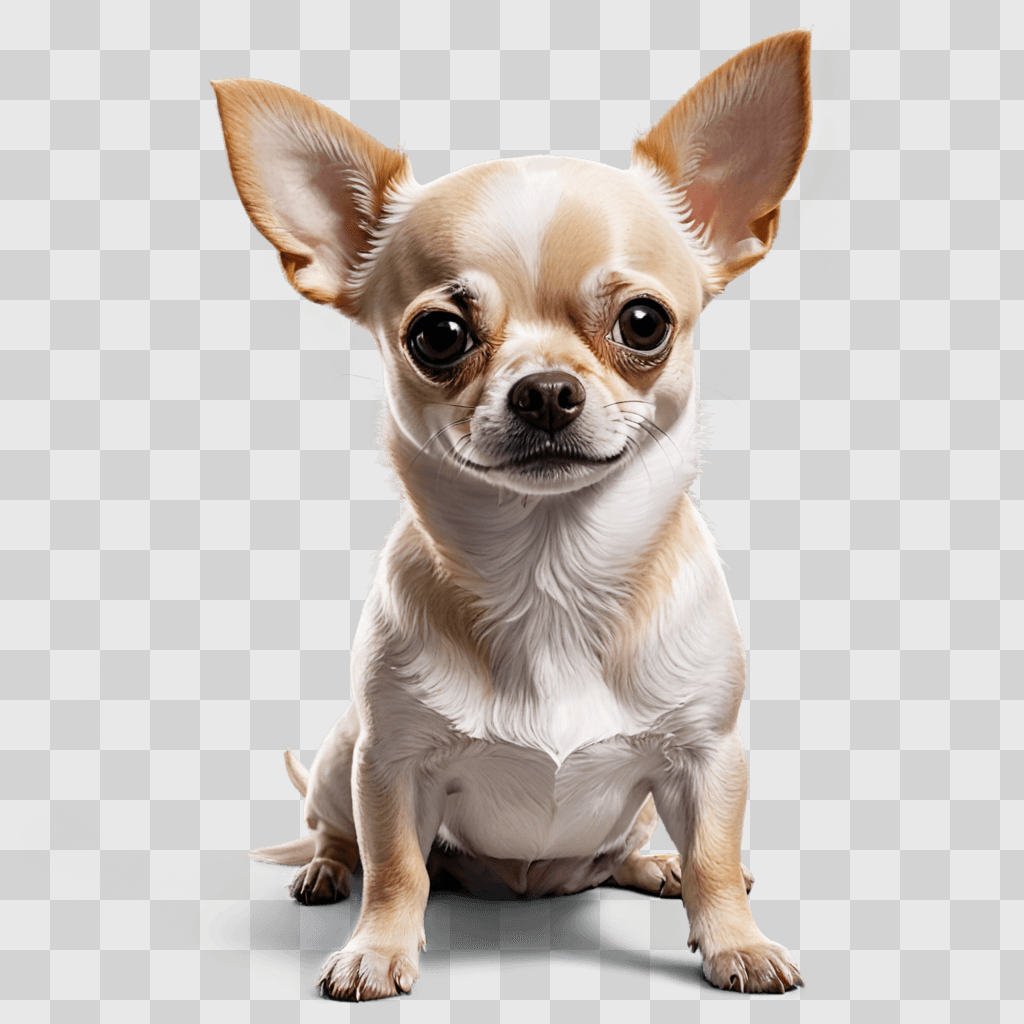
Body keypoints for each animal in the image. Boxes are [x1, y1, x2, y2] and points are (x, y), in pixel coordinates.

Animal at [211, 28, 811, 1003]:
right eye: (438, 337)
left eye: (644, 323)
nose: (546, 389)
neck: (550, 570)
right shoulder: (390, 762)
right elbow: (398, 867)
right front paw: (377, 948)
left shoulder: (710, 755)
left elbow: (717, 856)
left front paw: (736, 941)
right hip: (342, 754)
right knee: (340, 833)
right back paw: (326, 870)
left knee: (633, 848)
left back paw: (653, 866)